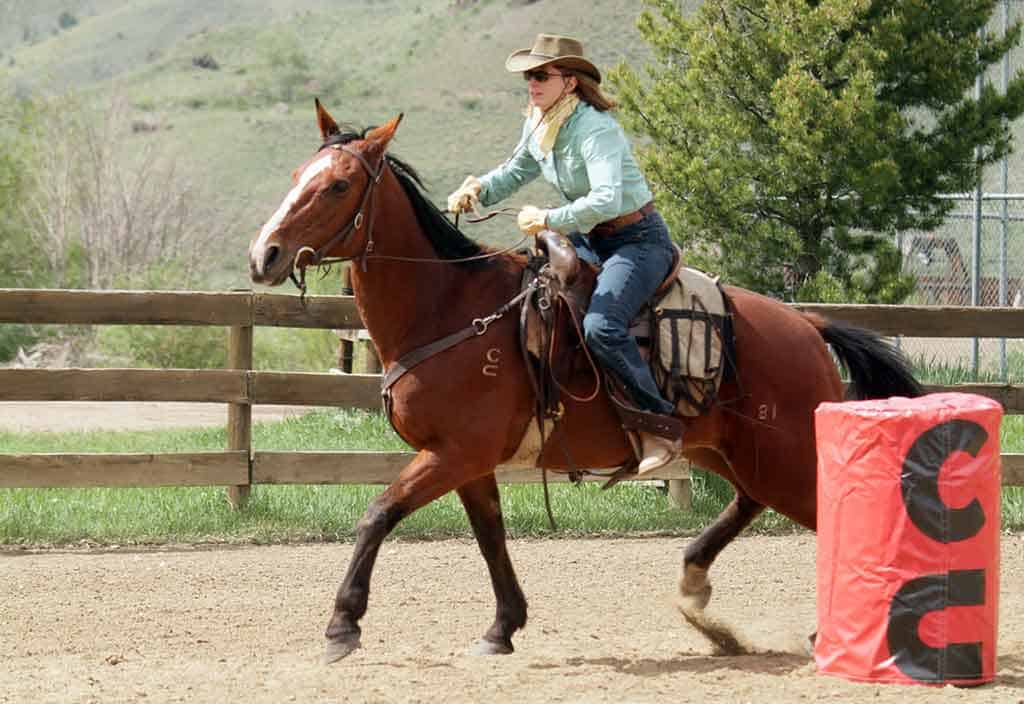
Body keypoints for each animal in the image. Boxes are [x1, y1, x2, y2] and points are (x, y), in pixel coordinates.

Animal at [249, 101, 929, 663]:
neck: (448, 307)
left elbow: (378, 514)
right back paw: (698, 592)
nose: (266, 254)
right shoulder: (466, 461)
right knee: (751, 503)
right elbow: (490, 537)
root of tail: (805, 324)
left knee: (833, 513)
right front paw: (502, 628)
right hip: (736, 452)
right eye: (296, 177)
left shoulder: (452, 454)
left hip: (783, 455)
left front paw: (342, 627)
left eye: (337, 185)